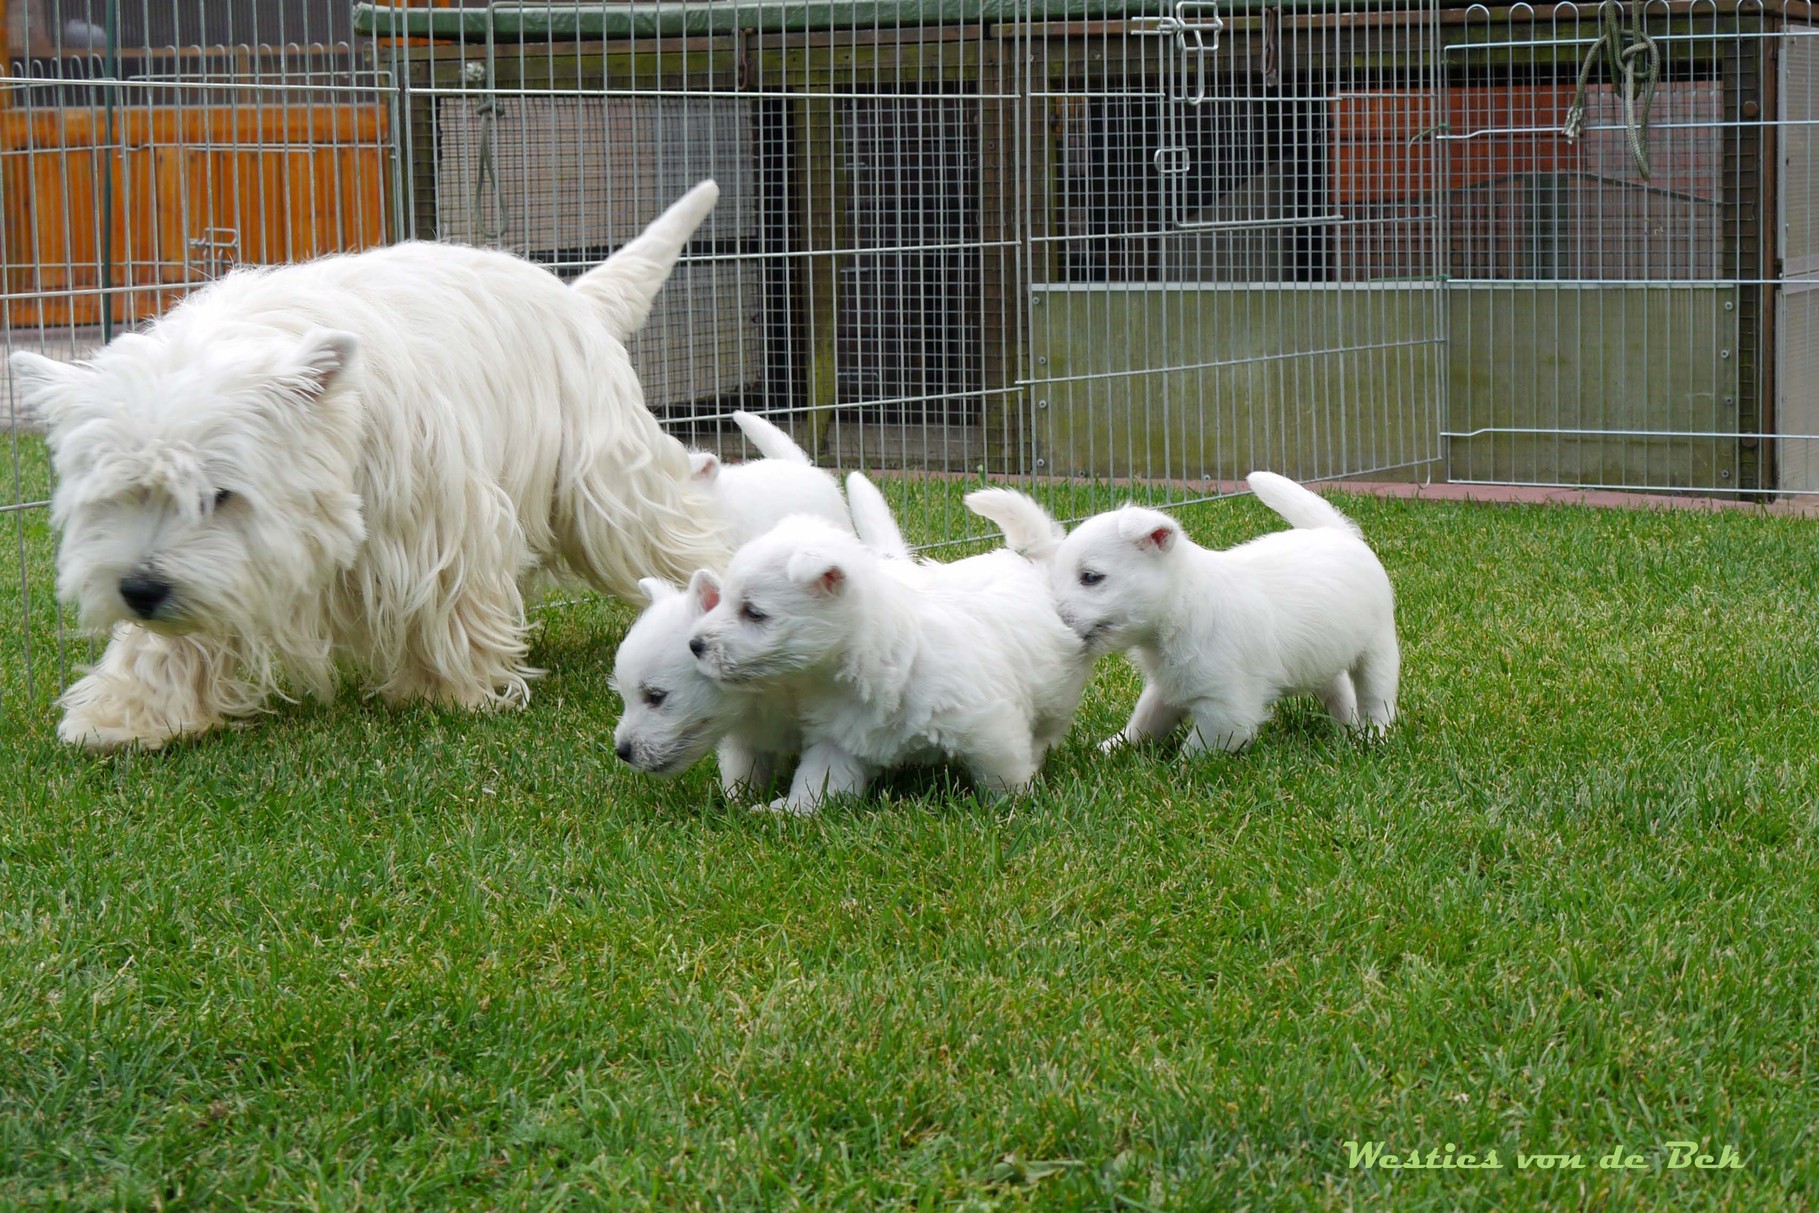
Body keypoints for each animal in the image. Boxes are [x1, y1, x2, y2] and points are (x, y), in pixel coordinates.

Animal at [8, 180, 731, 749]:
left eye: (219, 495)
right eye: (116, 494)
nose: (139, 590)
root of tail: (575, 296)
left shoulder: (432, 515)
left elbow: (445, 594)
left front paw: (447, 691)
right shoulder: (224, 570)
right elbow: (169, 639)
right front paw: (124, 713)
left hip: (608, 491)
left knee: (678, 534)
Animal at [683, 480, 1076, 811]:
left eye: (753, 612)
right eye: (721, 600)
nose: (695, 644)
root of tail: (1026, 562)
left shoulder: (988, 726)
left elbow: (1003, 774)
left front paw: (1015, 807)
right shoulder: (839, 738)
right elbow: (817, 779)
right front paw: (791, 810)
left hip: (1053, 694)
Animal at [1033, 469, 1396, 752]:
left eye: (1091, 577)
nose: (1052, 621)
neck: (1182, 608)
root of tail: (1340, 533)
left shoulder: (1227, 709)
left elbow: (1197, 750)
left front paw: (1178, 772)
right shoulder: (1167, 689)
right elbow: (1143, 722)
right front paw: (1110, 749)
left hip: (1378, 650)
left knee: (1377, 697)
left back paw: (1372, 735)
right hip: (1320, 656)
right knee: (1338, 690)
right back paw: (1346, 728)